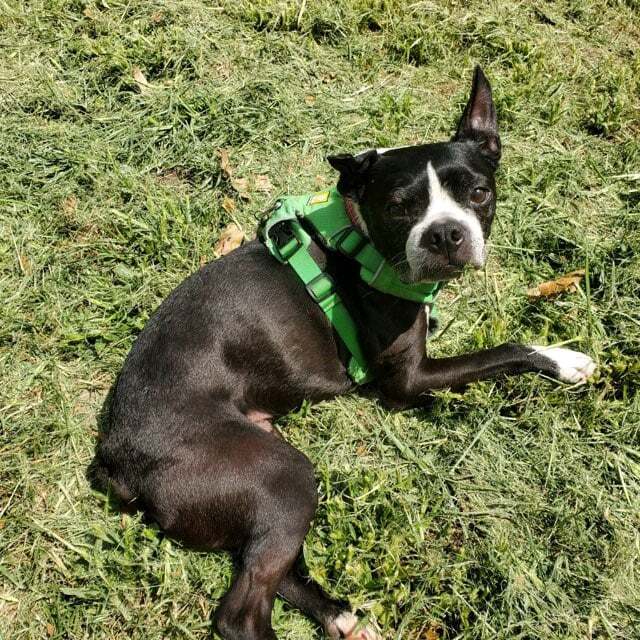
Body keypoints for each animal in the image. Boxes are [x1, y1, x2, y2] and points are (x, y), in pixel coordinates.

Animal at [92, 67, 596, 636]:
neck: (359, 235)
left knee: (270, 568)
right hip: (286, 477)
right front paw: (563, 359)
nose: (446, 233)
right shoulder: (408, 381)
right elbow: (503, 350)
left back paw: (339, 615)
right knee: (240, 612)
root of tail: (117, 458)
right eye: (398, 207)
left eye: (479, 192)